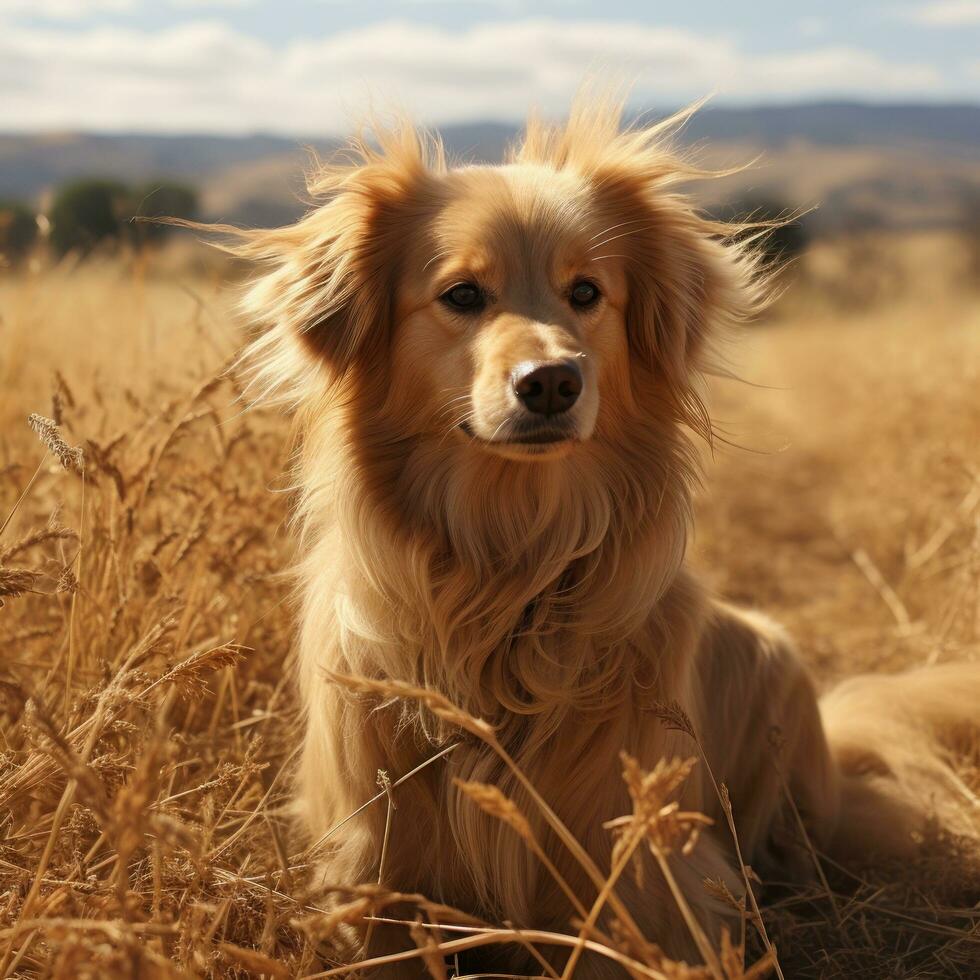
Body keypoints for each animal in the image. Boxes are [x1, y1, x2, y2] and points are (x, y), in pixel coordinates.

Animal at [230, 97, 980, 972]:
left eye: (586, 291)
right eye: (461, 294)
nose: (553, 382)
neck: (509, 578)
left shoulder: (645, 882)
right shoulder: (376, 874)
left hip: (776, 675)